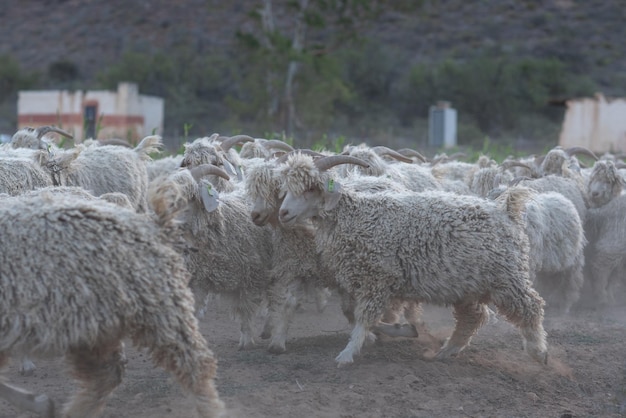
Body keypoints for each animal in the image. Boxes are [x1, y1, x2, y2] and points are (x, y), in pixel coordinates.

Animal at [0, 188, 224, 416]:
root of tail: (150, 225)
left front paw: (38, 402)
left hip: (157, 305)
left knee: (194, 365)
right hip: (93, 323)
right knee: (108, 373)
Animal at [276, 153, 544, 366]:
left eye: (310, 189)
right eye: (287, 188)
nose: (283, 213)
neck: (356, 216)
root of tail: (506, 211)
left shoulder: (378, 278)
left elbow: (363, 317)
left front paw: (347, 354)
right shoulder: (363, 280)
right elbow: (353, 313)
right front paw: (401, 329)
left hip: (506, 277)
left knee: (531, 306)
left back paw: (538, 351)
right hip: (467, 285)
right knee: (475, 316)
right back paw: (448, 350)